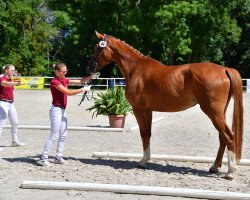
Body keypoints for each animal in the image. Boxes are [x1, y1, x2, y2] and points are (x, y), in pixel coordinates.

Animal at [89, 30, 243, 180]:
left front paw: (142, 162)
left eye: (97, 47)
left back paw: (230, 171)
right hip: (220, 113)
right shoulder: (148, 110)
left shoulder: (138, 109)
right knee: (222, 137)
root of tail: (224, 69)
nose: (89, 68)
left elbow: (143, 133)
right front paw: (146, 160)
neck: (136, 69)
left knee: (229, 136)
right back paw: (214, 167)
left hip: (213, 112)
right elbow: (147, 134)